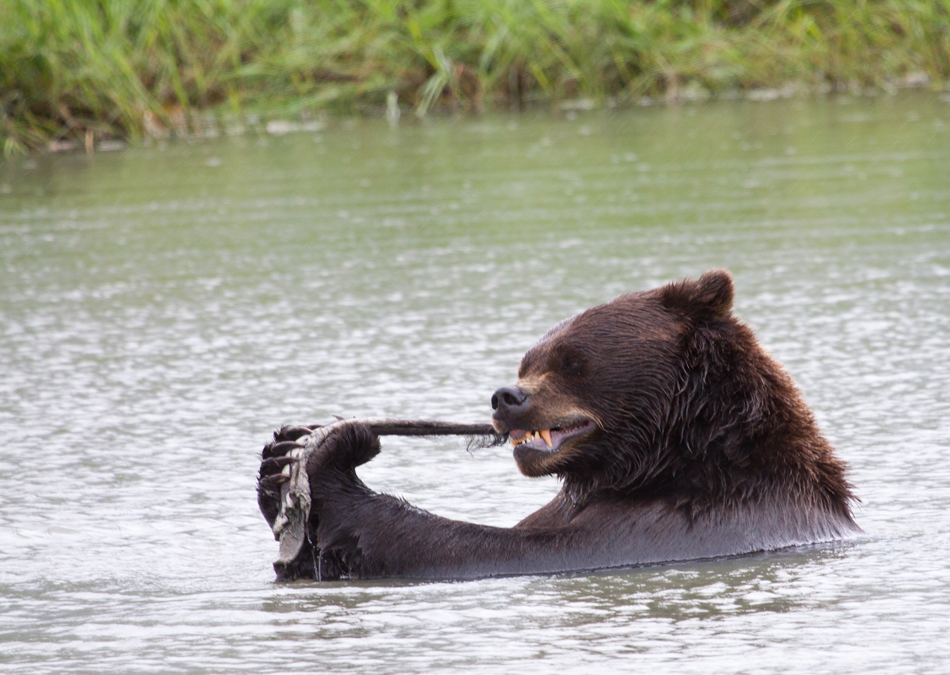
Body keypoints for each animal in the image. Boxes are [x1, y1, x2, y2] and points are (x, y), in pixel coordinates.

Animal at [256, 270, 860, 580]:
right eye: (528, 359)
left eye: (571, 359)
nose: (506, 397)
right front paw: (277, 460)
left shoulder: (690, 522)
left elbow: (503, 550)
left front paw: (335, 456)